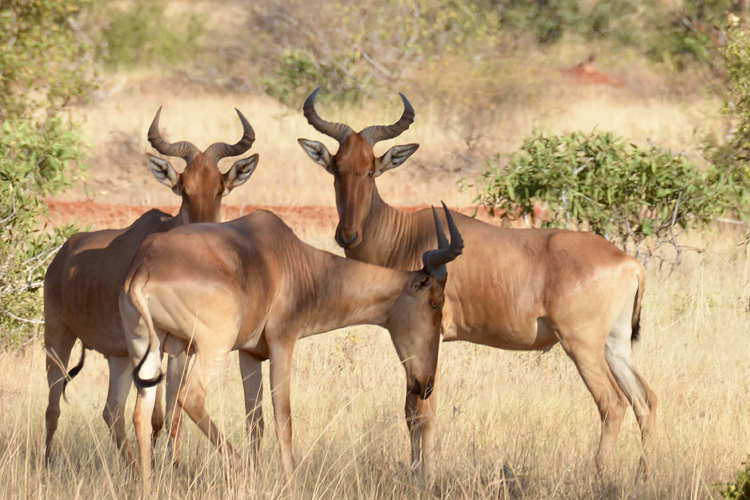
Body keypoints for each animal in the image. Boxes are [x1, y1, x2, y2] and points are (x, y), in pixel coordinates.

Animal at [45, 107, 262, 466]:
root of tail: (62, 254)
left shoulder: (183, 348)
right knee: (53, 406)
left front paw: (175, 465)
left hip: (117, 354)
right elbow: (158, 416)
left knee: (111, 411)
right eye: (183, 188)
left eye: (219, 188)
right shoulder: (156, 346)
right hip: (58, 337)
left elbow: (174, 413)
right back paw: (48, 462)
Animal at [119, 204, 464, 492]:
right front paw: (291, 481)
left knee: (140, 415)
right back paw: (241, 469)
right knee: (190, 398)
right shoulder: (282, 342)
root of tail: (144, 267)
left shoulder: (249, 354)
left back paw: (148, 486)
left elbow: (255, 421)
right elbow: (283, 417)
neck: (290, 257)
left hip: (148, 348)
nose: (426, 385)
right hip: (212, 346)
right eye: (435, 303)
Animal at [300, 89, 656, 480]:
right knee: (645, 399)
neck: (407, 234)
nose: (347, 235)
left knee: (613, 403)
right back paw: (644, 474)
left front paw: (426, 476)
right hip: (615, 345)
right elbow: (410, 409)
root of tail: (629, 263)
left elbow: (423, 409)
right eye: (336, 168)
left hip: (582, 345)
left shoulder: (429, 334)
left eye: (371, 170)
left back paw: (600, 475)